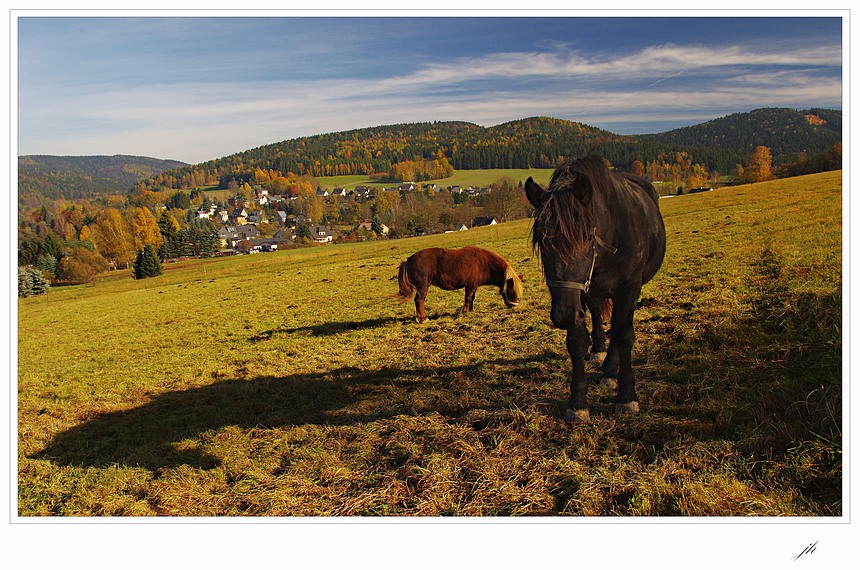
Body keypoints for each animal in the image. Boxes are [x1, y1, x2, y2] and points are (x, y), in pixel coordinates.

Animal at [396, 245, 524, 322]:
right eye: (511, 288)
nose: (514, 305)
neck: (483, 263)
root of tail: (409, 259)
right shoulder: (470, 286)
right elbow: (468, 298)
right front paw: (465, 311)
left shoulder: (474, 286)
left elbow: (472, 298)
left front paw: (470, 310)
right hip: (423, 288)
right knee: (419, 301)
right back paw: (423, 319)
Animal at [520, 155, 668, 422]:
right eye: (540, 241)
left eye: (588, 237)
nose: (564, 315)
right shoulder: (575, 295)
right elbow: (578, 341)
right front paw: (578, 403)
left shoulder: (629, 287)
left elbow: (624, 335)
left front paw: (626, 397)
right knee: (599, 315)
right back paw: (601, 354)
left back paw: (610, 371)